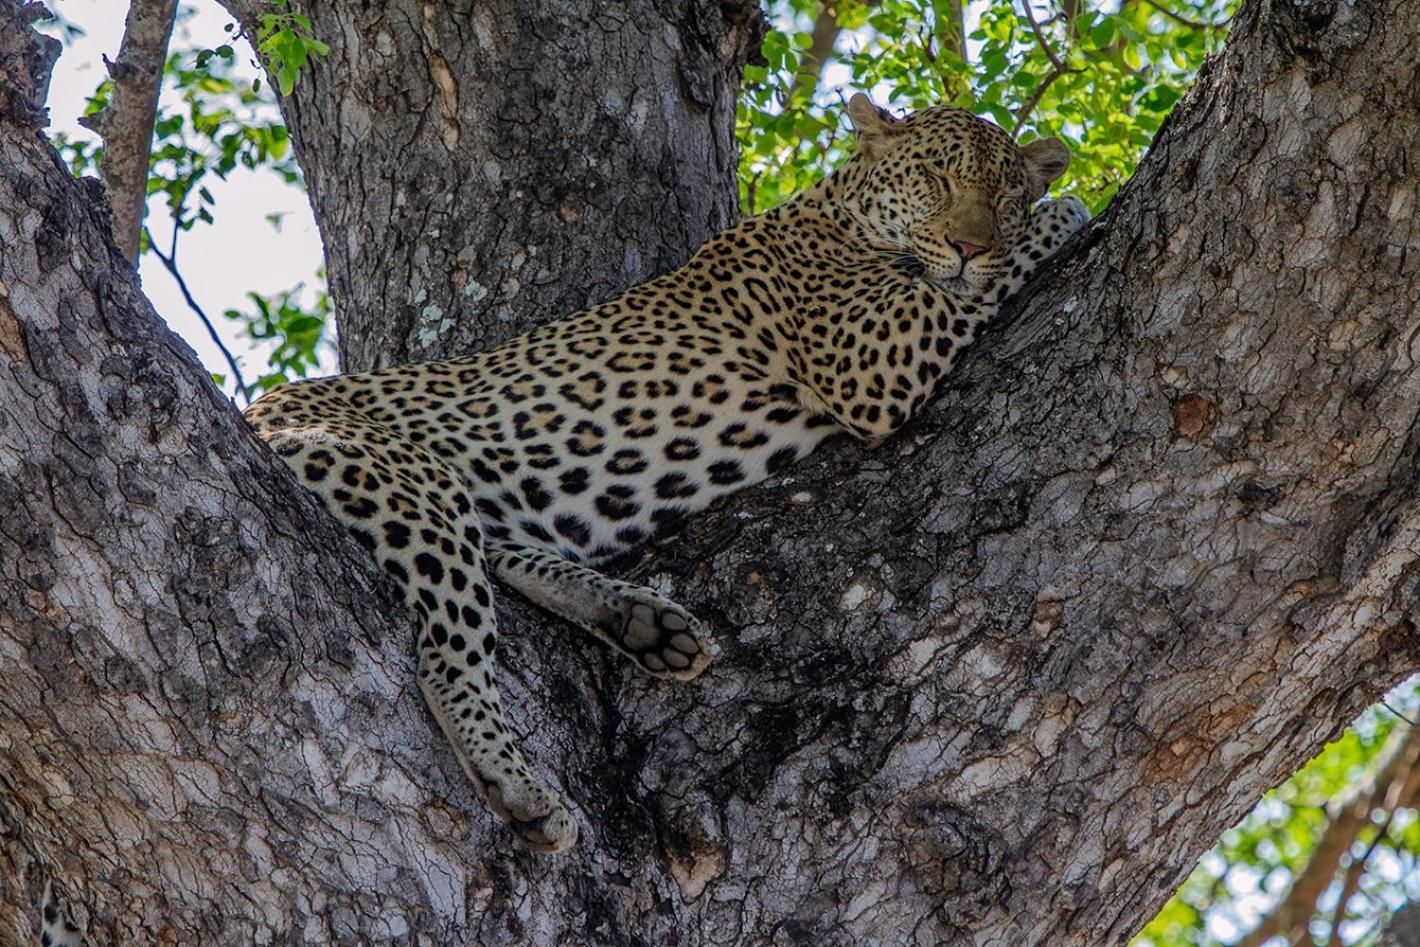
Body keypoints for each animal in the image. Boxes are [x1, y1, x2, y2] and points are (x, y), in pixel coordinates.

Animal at [241, 92, 1084, 857]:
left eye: (1004, 196)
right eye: (937, 179)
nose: (970, 245)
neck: (841, 210)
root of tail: (257, 407)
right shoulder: (871, 354)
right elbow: (988, 274)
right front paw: (1068, 212)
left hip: (480, 499)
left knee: (501, 557)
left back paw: (646, 623)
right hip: (404, 473)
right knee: (447, 647)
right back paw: (521, 787)